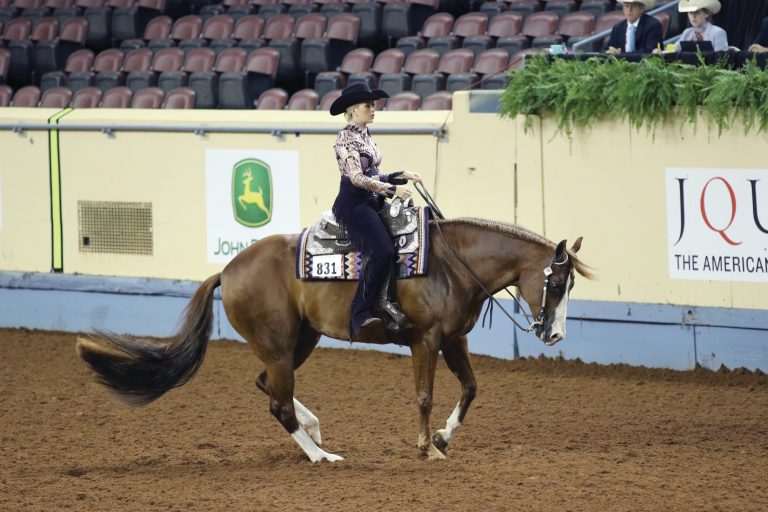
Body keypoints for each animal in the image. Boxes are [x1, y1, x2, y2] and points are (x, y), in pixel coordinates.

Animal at [78, 215, 592, 460]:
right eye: (556, 284)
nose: (555, 334)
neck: (450, 263)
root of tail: (227, 270)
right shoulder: (425, 341)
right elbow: (424, 396)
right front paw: (427, 448)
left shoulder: (453, 341)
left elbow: (470, 388)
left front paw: (443, 438)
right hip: (280, 346)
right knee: (277, 403)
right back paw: (322, 457)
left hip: (298, 342)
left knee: (267, 387)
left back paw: (316, 430)